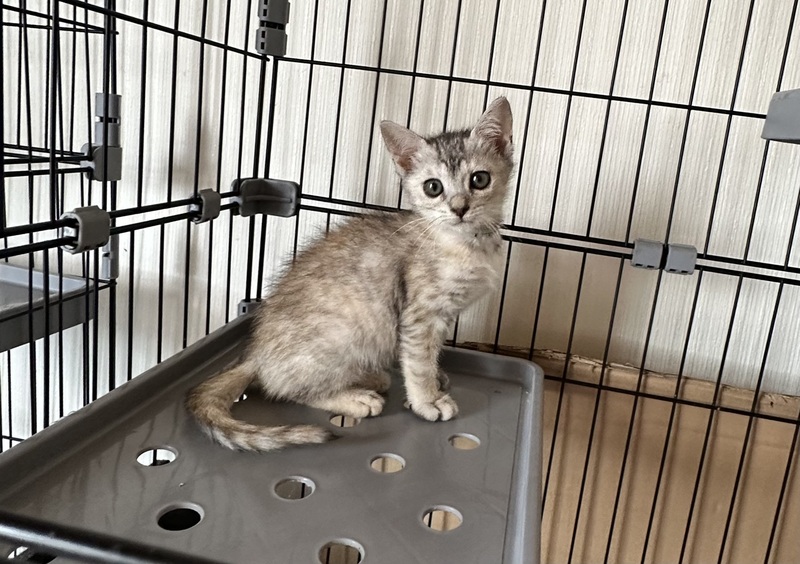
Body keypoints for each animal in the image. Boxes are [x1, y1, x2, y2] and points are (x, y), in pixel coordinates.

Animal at [186, 97, 514, 452]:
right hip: (343, 333)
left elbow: (429, 353)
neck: (467, 243)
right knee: (284, 388)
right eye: (433, 187)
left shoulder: (442, 316)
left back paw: (370, 376)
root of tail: (257, 355)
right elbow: (419, 361)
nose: (459, 208)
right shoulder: (420, 316)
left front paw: (434, 379)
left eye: (479, 180)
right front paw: (428, 399)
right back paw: (354, 397)